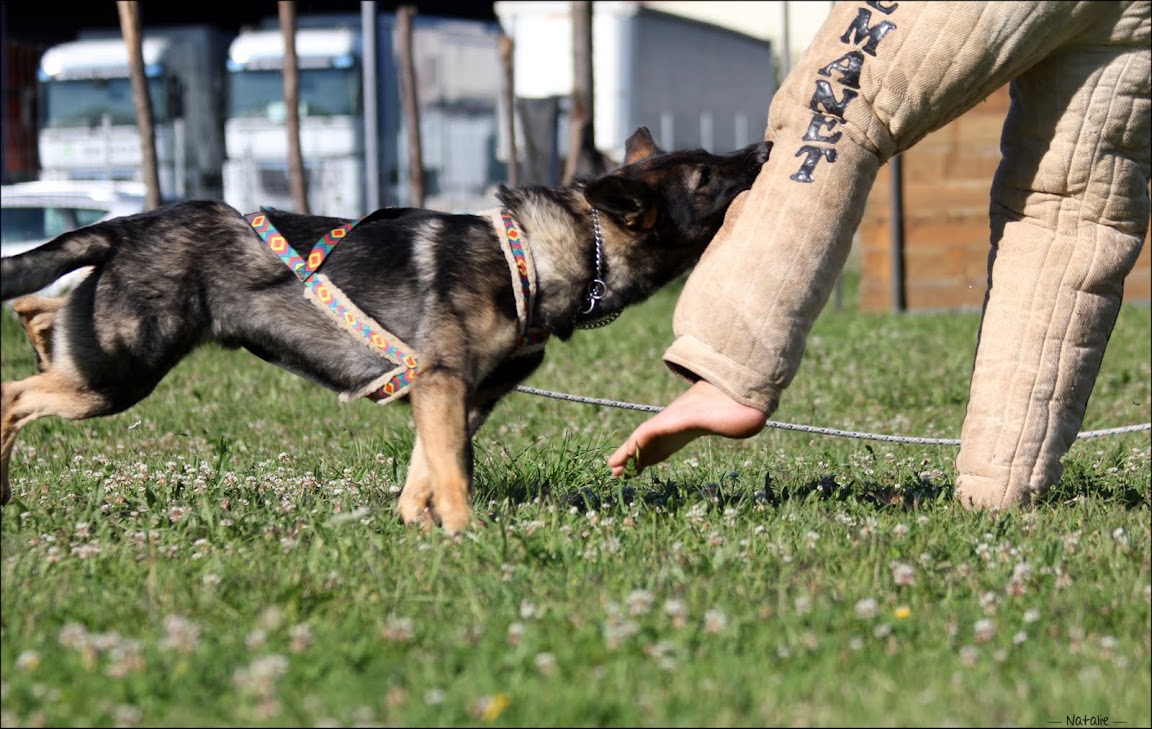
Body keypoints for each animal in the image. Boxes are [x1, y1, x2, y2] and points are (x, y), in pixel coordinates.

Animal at [2, 127, 774, 532]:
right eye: (705, 176)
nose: (765, 147)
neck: (541, 255)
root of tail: (125, 224)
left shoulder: (456, 397)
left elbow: (427, 469)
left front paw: (415, 527)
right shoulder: (443, 384)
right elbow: (453, 473)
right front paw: (466, 538)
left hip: (105, 358)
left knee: (40, 320)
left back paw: (36, 337)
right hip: (120, 370)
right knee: (14, 394)